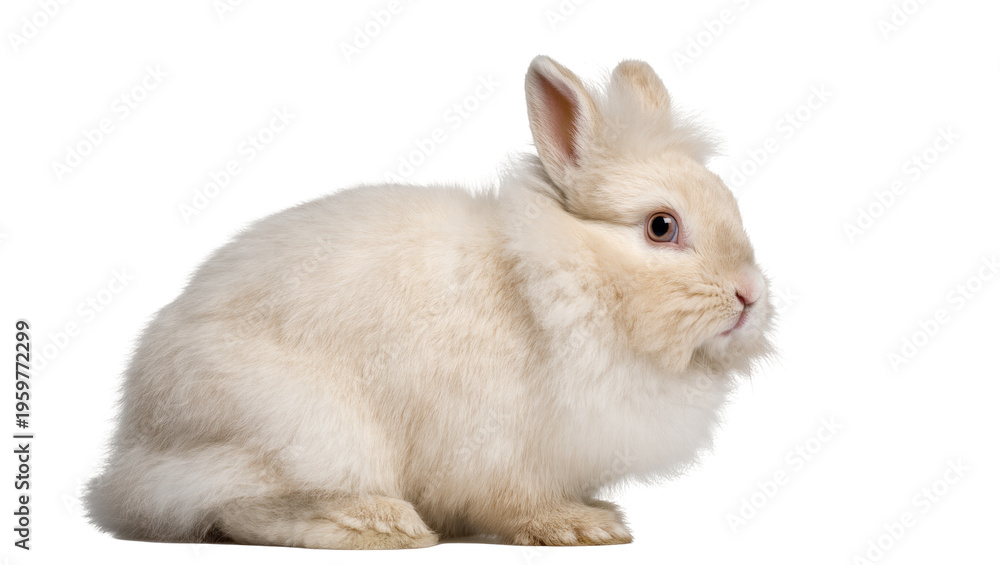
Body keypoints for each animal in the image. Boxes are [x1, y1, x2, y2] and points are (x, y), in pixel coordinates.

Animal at [85, 55, 774, 549]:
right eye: (661, 227)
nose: (749, 295)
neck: (554, 283)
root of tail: (133, 449)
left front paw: (599, 512)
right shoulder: (494, 444)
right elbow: (517, 500)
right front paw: (580, 527)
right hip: (303, 431)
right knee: (235, 506)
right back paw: (378, 524)